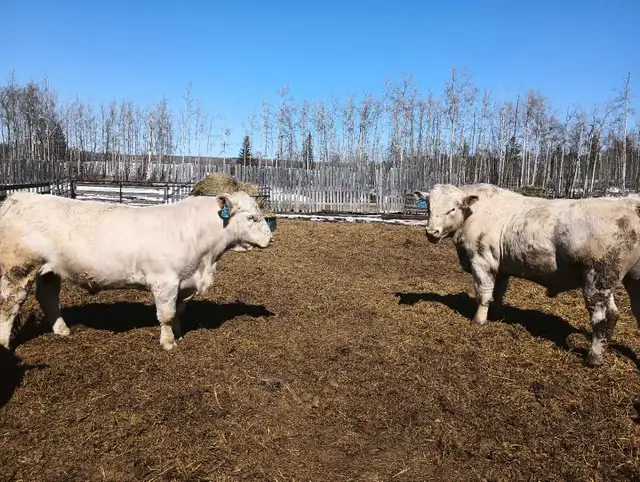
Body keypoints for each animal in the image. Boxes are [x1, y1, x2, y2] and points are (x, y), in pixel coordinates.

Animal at [0, 190, 274, 351]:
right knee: (9, 304)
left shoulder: (184, 282)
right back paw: (5, 343)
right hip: (18, 269)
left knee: (48, 298)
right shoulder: (165, 281)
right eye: (251, 217)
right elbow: (166, 314)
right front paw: (168, 343)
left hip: (50, 271)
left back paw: (62, 330)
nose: (271, 239)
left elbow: (178, 312)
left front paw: (178, 334)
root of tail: (18, 197)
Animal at [414, 183, 640, 367]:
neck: (474, 214)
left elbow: (483, 293)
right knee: (621, 314)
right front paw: (497, 315)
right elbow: (499, 292)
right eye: (428, 206)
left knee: (601, 318)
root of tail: (629, 203)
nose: (431, 232)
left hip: (598, 279)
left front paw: (479, 320)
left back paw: (593, 357)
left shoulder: (481, 261)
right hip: (627, 280)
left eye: (451, 208)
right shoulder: (501, 267)